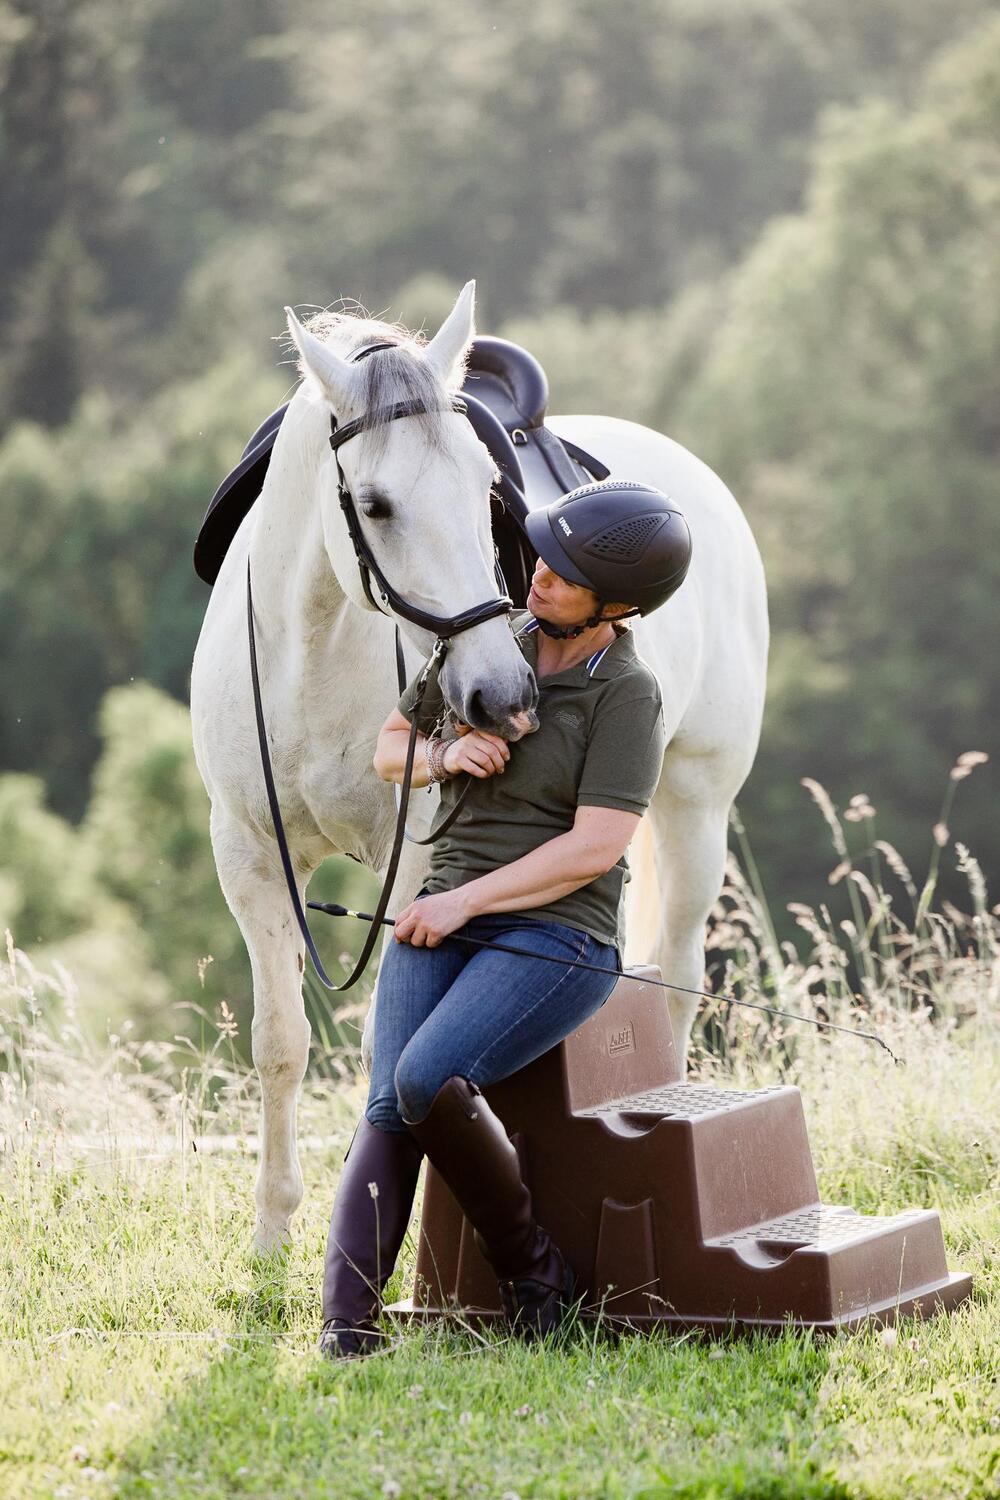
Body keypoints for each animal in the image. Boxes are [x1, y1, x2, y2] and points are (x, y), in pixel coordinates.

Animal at [189, 283, 767, 1254]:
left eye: (483, 489)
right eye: (376, 504)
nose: (498, 693)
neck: (313, 648)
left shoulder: (421, 866)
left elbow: (389, 1043)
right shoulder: (249, 857)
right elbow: (279, 1043)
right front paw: (272, 1235)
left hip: (695, 807)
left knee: (674, 973)